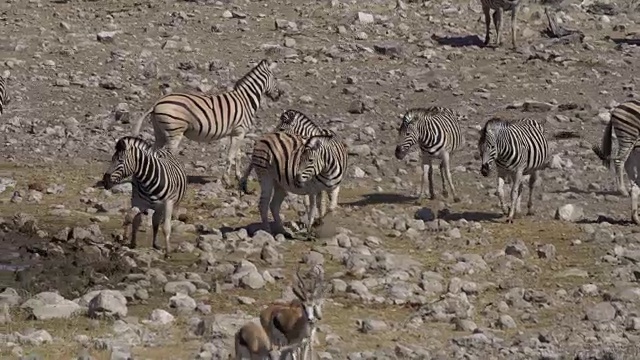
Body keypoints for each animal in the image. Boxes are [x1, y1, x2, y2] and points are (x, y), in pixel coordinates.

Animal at [130, 57, 280, 187]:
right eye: (275, 78)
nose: (279, 96)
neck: (245, 100)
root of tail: (157, 103)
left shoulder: (237, 133)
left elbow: (238, 155)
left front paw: (238, 176)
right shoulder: (240, 131)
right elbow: (231, 156)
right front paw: (227, 180)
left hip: (159, 133)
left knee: (153, 153)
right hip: (174, 133)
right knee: (166, 154)